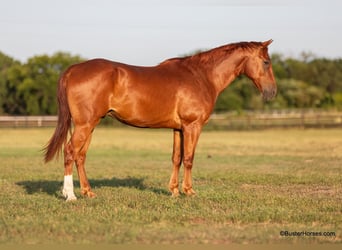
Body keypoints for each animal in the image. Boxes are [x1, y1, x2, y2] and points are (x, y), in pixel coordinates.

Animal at [44, 40, 276, 201]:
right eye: (266, 62)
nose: (272, 92)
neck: (201, 76)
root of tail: (73, 69)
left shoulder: (178, 129)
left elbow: (176, 158)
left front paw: (174, 191)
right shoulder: (193, 126)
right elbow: (189, 158)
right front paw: (189, 191)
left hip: (90, 125)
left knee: (80, 156)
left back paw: (88, 192)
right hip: (85, 125)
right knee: (70, 152)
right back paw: (70, 195)